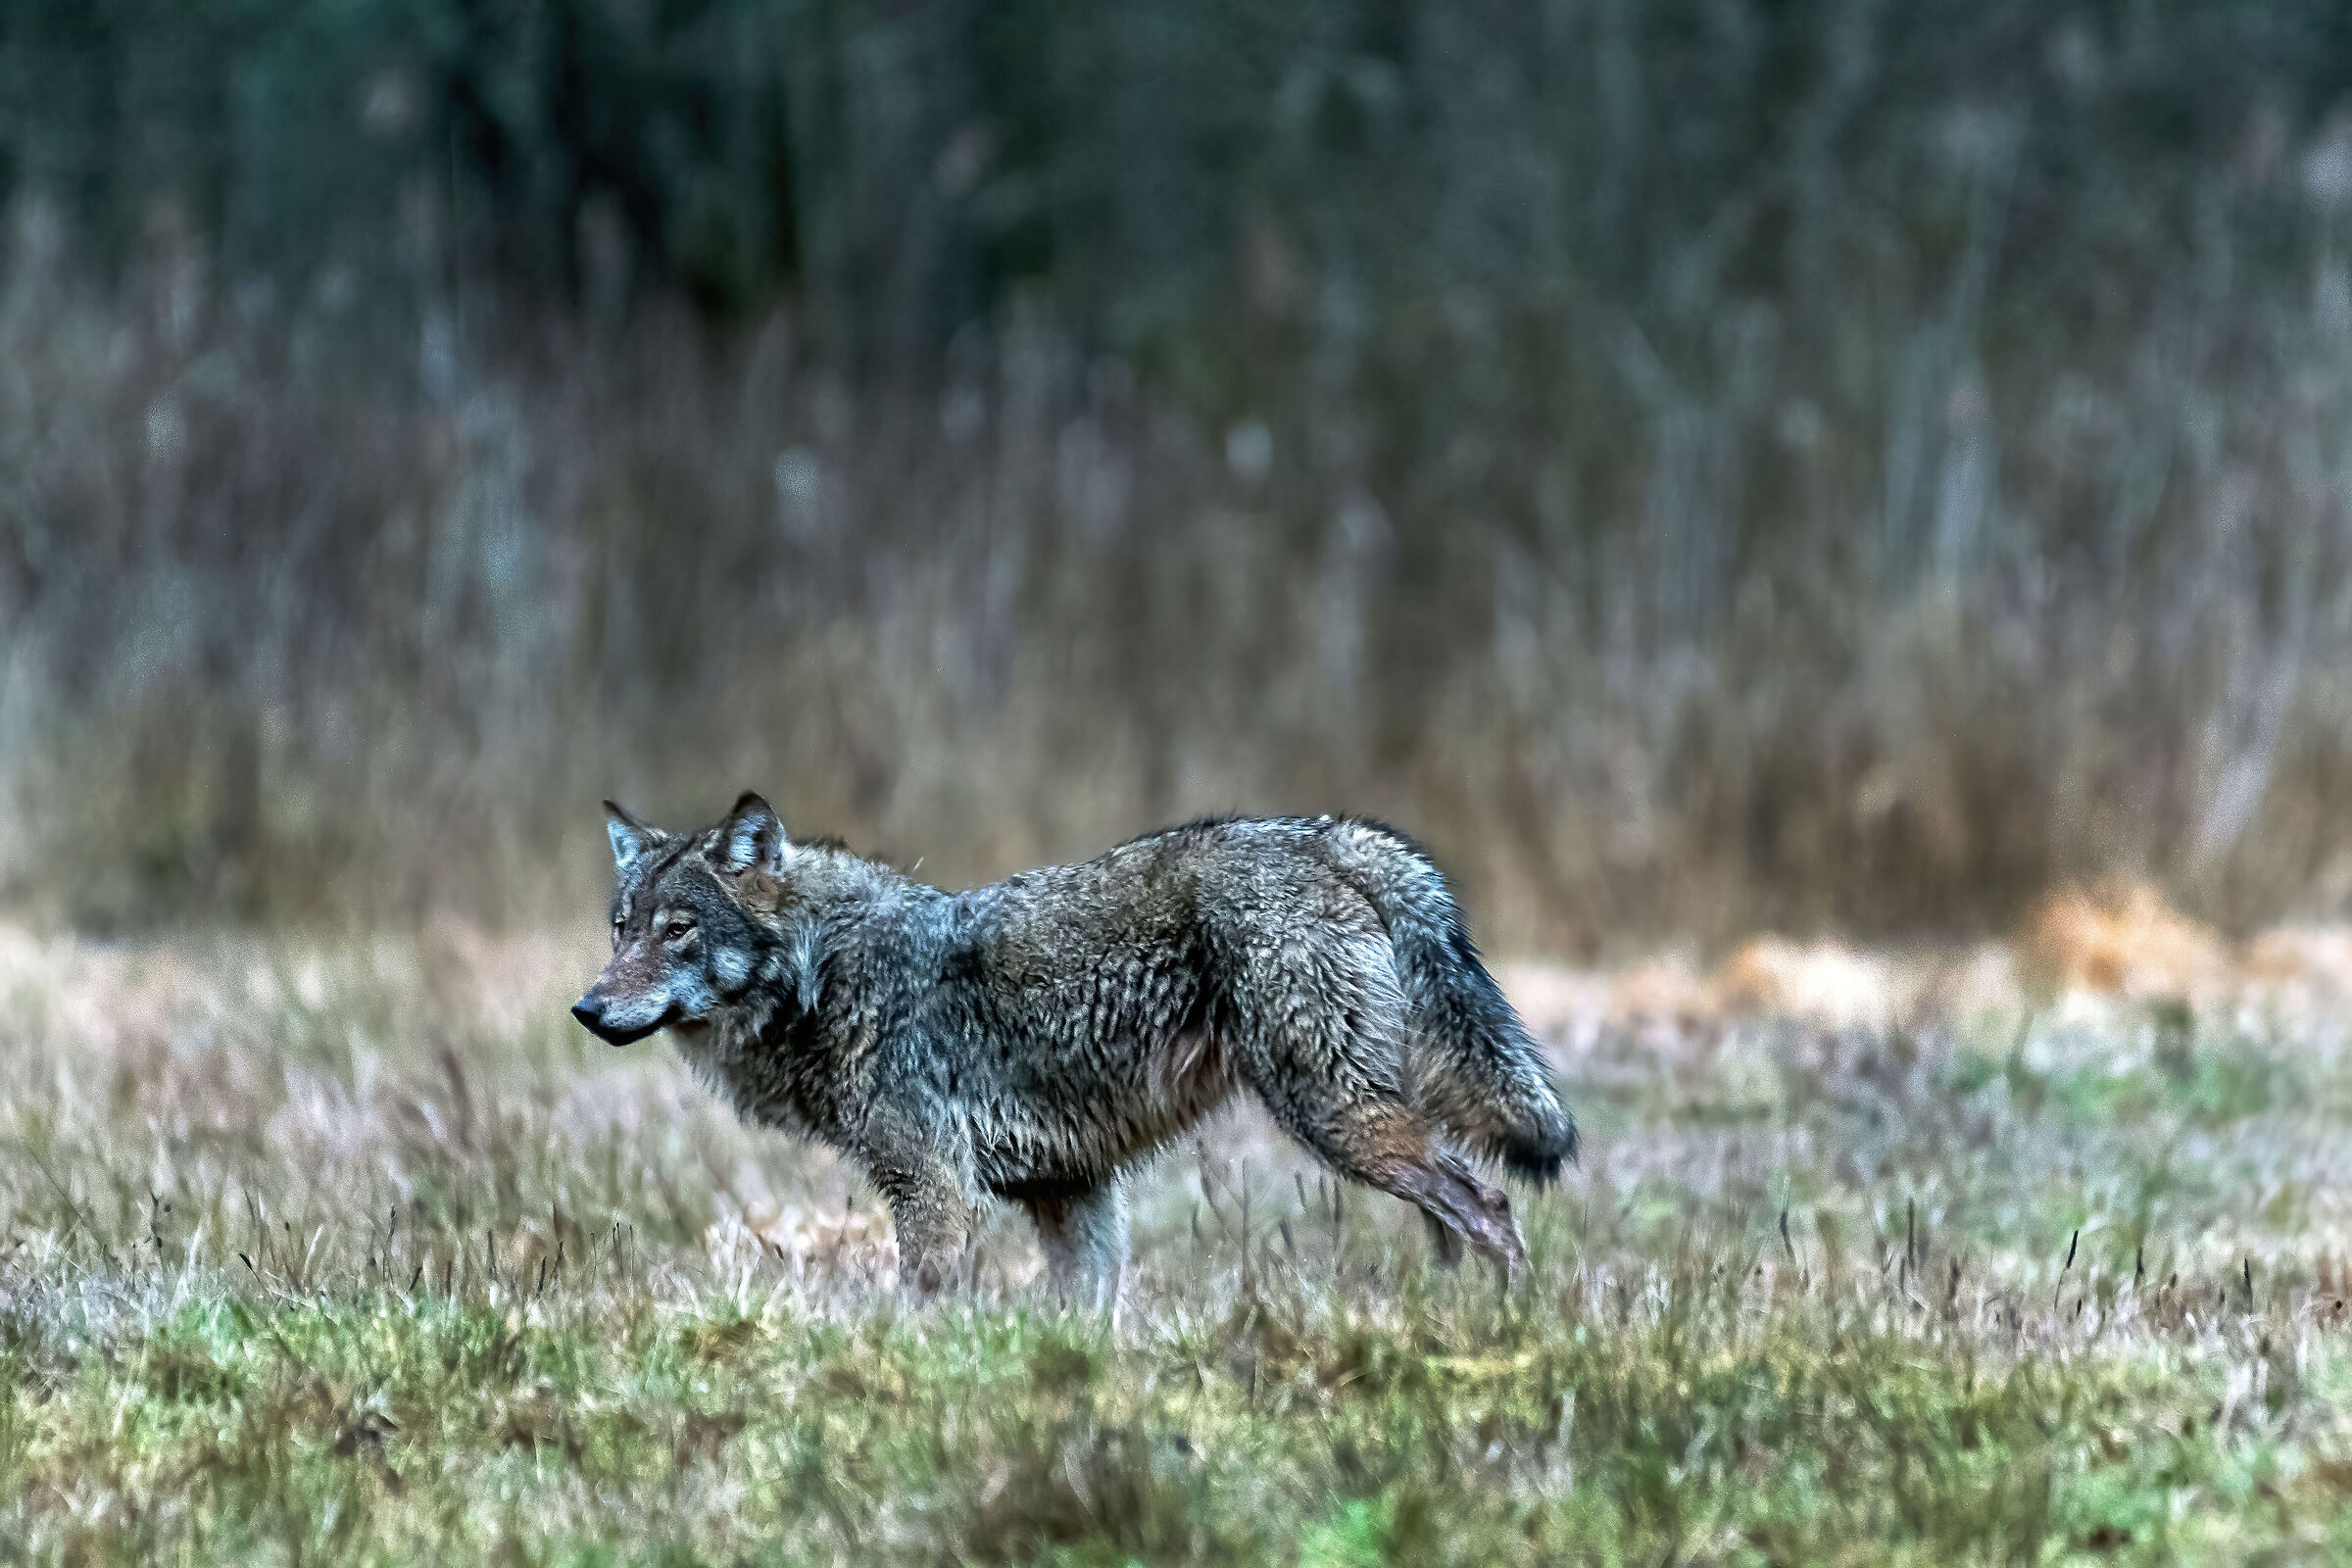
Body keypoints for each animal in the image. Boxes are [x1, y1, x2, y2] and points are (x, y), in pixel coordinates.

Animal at [571, 794, 1576, 1295]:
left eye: (677, 932)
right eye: (620, 929)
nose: (585, 1009)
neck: (829, 971)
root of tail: (1334, 837)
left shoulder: (934, 1191)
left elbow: (921, 1307)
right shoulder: (1072, 1193)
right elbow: (1081, 1317)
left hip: (1337, 1119)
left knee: (1487, 1204)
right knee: (1453, 1217)